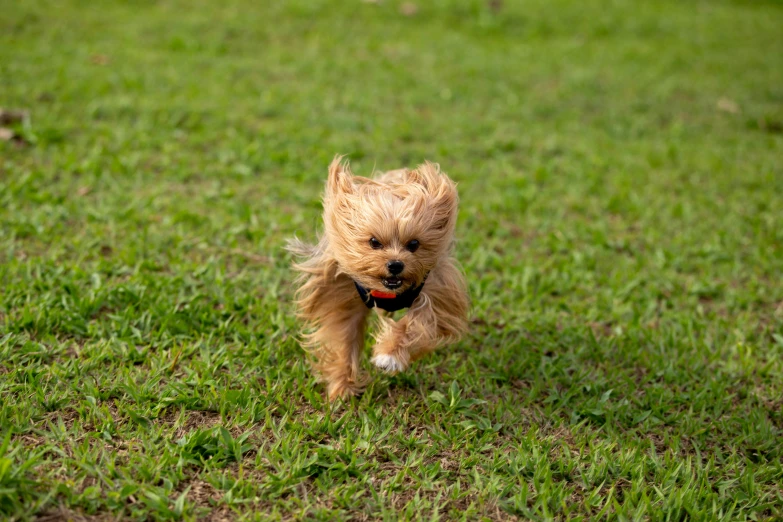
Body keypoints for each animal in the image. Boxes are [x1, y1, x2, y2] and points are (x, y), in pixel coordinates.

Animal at [290, 154, 468, 398]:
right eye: (374, 242)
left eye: (414, 244)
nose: (395, 264)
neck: (387, 292)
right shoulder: (342, 293)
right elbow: (343, 336)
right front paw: (342, 387)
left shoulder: (436, 289)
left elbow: (420, 322)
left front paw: (390, 355)